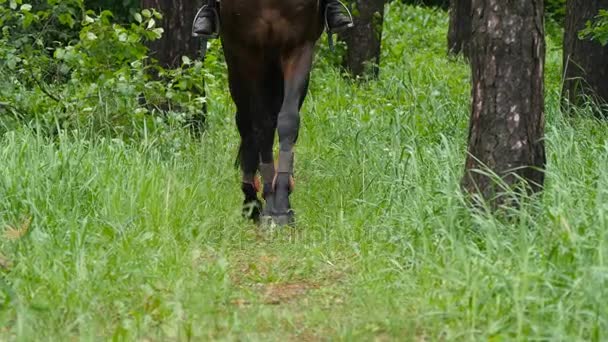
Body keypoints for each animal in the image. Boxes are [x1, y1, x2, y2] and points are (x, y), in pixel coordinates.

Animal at [218, 0, 324, 226]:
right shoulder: (249, 52)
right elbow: (262, 125)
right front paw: (269, 203)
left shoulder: (298, 47)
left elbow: (288, 120)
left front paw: (282, 205)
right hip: (237, 66)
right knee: (245, 123)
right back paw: (251, 202)